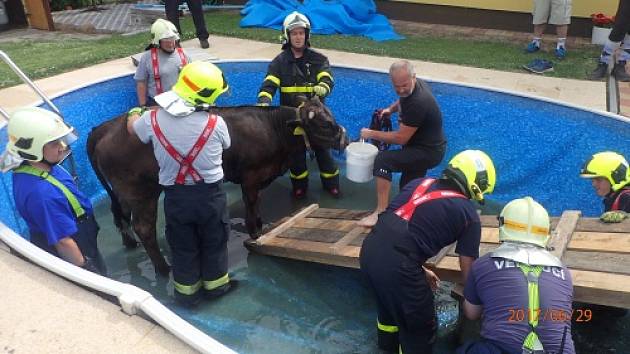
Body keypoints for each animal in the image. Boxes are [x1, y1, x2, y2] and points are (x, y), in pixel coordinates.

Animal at [86, 97, 348, 276]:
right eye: (325, 123)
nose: (345, 138)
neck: (273, 128)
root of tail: (105, 127)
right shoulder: (251, 178)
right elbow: (252, 210)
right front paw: (256, 233)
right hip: (143, 192)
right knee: (144, 227)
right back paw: (163, 268)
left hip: (125, 192)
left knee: (120, 214)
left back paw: (130, 244)